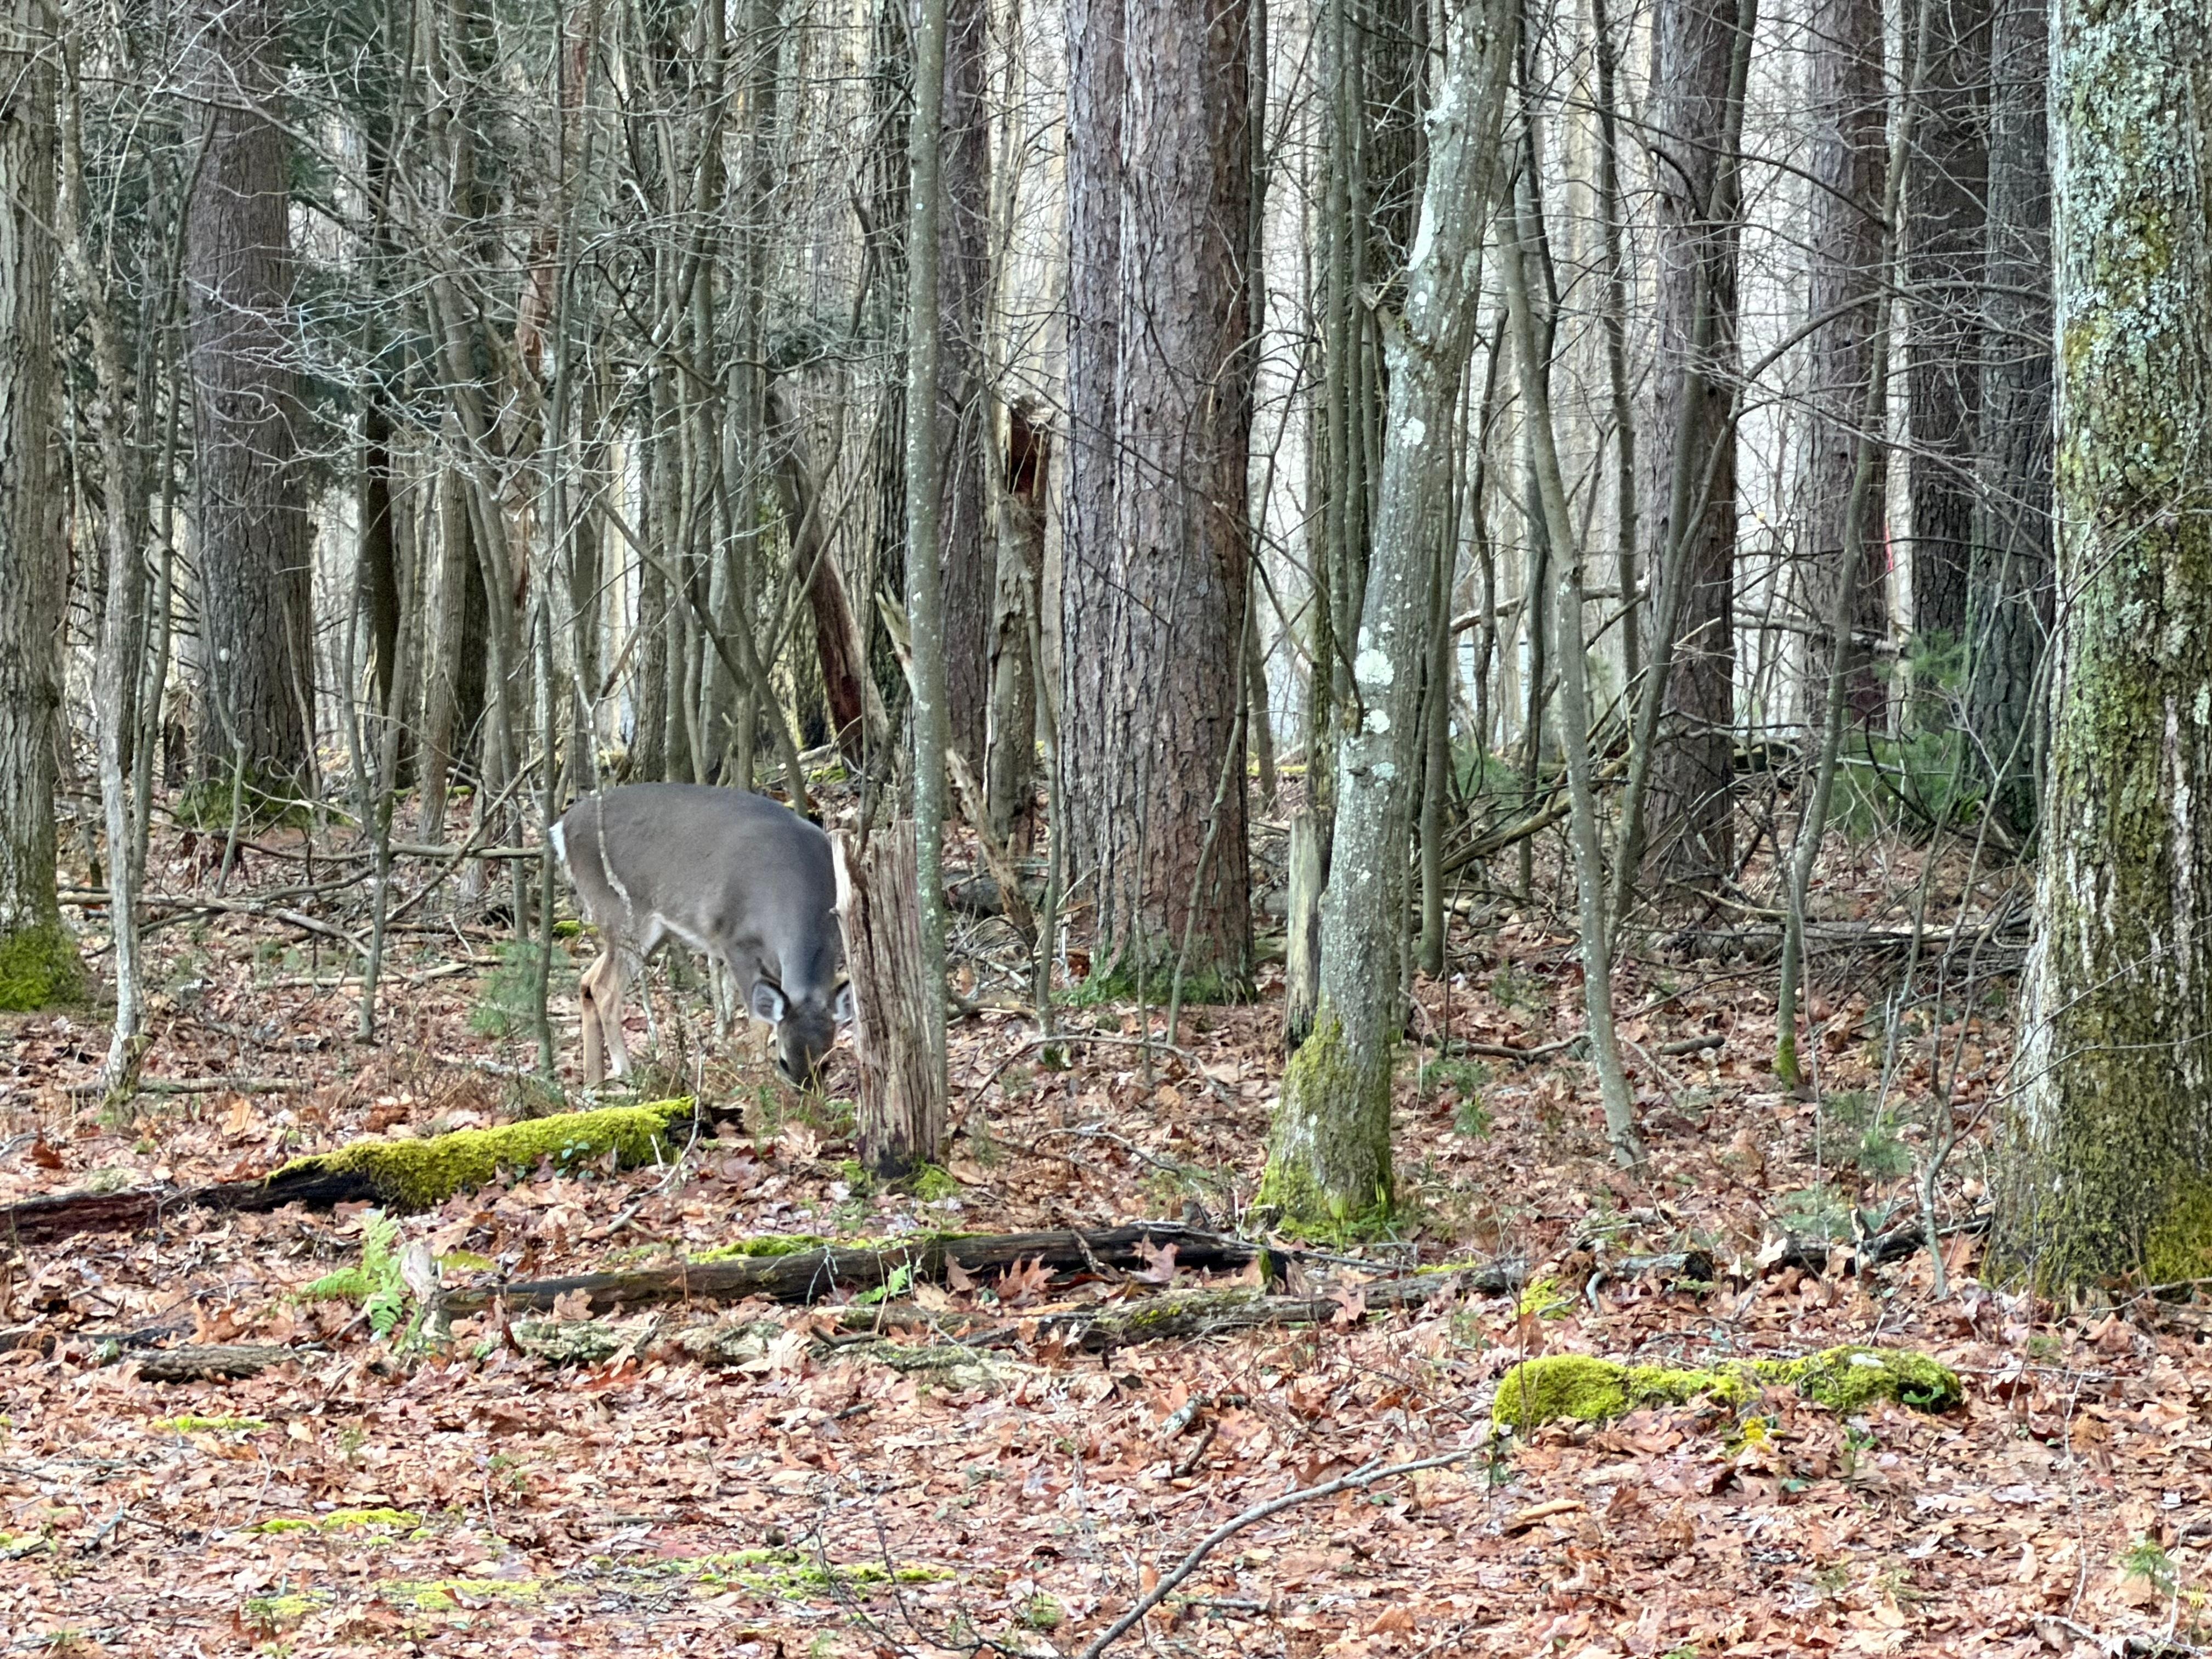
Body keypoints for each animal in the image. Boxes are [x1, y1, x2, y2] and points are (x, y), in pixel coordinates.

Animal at [549, 784, 854, 1090]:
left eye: (826, 1063)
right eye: (784, 1062)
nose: (807, 1097)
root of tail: (562, 826)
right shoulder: (734, 941)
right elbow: (759, 1019)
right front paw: (759, 1077)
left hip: (654, 931)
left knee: (587, 980)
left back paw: (594, 1083)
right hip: (622, 912)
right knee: (604, 988)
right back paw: (625, 1073)